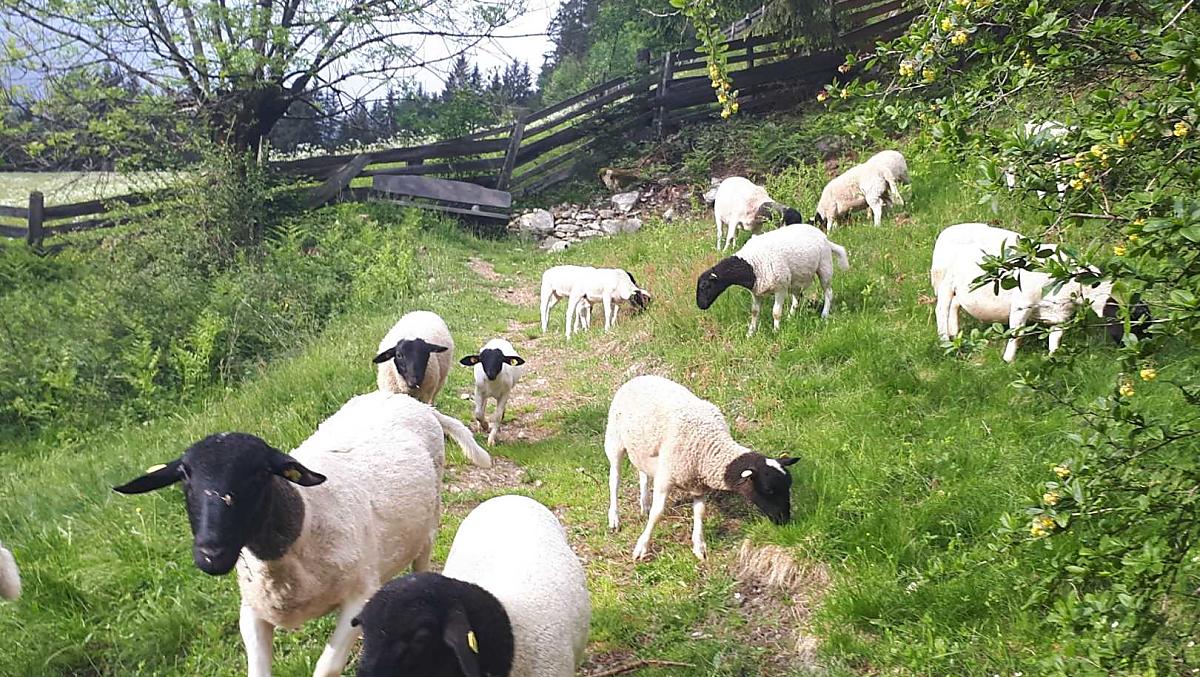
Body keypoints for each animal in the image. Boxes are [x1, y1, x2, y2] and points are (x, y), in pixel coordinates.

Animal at [113, 391, 452, 677]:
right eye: (184, 475)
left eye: (260, 473)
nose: (210, 554)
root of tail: (408, 401)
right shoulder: (251, 611)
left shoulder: (361, 594)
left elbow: (327, 667)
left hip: (429, 522)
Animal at [605, 375, 799, 561]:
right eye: (768, 490)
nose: (785, 520)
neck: (709, 449)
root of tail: (638, 377)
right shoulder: (666, 477)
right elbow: (657, 513)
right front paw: (642, 547)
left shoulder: (698, 485)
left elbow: (700, 513)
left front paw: (699, 547)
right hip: (615, 440)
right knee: (614, 479)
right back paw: (614, 518)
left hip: (642, 450)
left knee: (643, 474)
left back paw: (644, 504)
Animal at [696, 223, 849, 337]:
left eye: (704, 285)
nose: (700, 306)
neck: (751, 265)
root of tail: (825, 238)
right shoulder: (756, 291)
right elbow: (754, 312)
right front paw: (750, 333)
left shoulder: (780, 288)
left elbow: (775, 313)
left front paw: (776, 331)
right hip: (795, 279)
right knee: (797, 298)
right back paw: (791, 317)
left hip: (824, 266)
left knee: (828, 293)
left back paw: (824, 314)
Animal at [931, 222, 1150, 362]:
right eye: (1131, 323)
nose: (1139, 353)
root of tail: (947, 231)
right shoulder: (1022, 304)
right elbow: (1017, 334)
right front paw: (1008, 361)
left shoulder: (1061, 315)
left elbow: (1056, 339)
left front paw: (1053, 358)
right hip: (944, 282)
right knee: (941, 310)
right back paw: (944, 341)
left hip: (962, 289)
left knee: (955, 306)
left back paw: (955, 334)